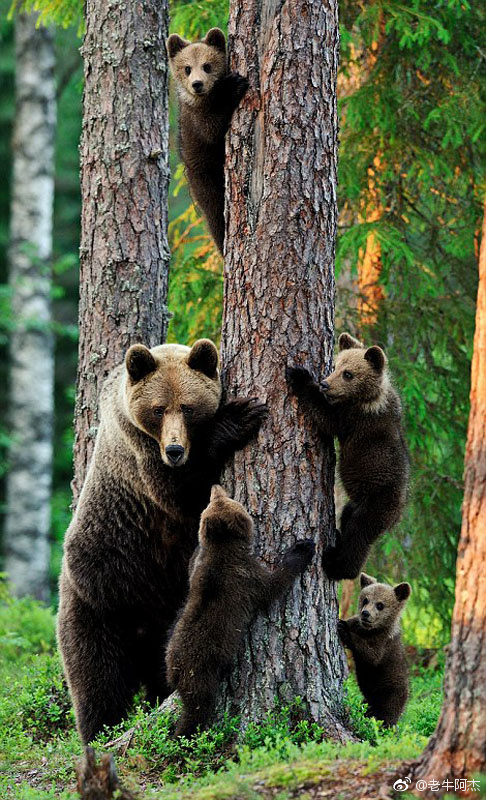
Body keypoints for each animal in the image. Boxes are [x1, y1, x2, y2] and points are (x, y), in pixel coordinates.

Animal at [165, 482, 314, 736]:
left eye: (216, 500)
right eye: (227, 500)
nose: (216, 486)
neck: (223, 548)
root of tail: (175, 671)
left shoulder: (199, 568)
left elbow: (192, 563)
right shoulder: (246, 577)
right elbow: (273, 586)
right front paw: (302, 549)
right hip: (201, 673)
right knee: (198, 708)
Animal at [166, 28, 249, 253]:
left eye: (207, 65)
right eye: (187, 68)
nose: (197, 84)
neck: (206, 97)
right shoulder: (196, 120)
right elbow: (212, 128)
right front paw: (233, 86)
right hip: (203, 178)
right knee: (215, 215)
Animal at [286, 332, 408, 580]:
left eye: (348, 374)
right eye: (336, 366)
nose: (325, 384)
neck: (369, 397)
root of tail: (398, 512)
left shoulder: (355, 420)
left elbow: (327, 418)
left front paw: (300, 376)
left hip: (375, 503)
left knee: (359, 536)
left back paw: (337, 564)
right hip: (357, 503)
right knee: (348, 517)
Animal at [338, 572, 410, 728]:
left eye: (380, 604)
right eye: (365, 600)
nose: (365, 613)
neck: (371, 630)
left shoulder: (383, 644)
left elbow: (371, 656)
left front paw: (343, 630)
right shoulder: (358, 624)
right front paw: (343, 622)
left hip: (391, 692)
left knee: (387, 716)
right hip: (369, 700)